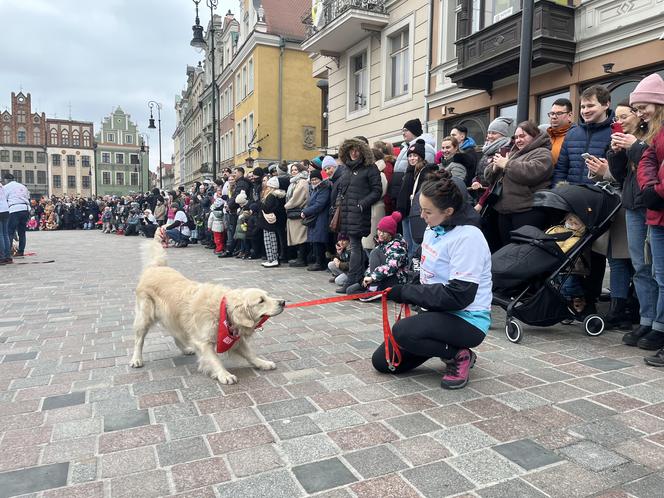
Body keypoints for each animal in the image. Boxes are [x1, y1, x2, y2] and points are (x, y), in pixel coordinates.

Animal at [130, 237, 286, 386]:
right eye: (261, 301)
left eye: (268, 296)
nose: (283, 302)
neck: (222, 310)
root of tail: (155, 267)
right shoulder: (203, 341)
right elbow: (214, 360)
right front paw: (224, 375)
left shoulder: (234, 338)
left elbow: (250, 354)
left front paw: (263, 363)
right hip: (144, 316)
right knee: (139, 340)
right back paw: (136, 359)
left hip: (174, 318)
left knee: (176, 334)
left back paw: (186, 349)